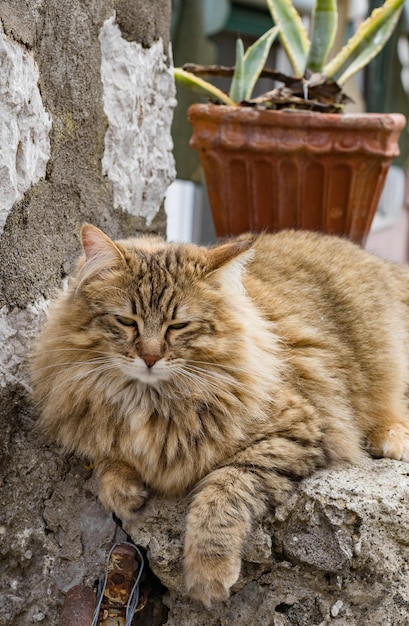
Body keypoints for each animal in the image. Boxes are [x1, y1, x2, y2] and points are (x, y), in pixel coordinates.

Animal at [30, 224, 408, 604]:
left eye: (178, 326)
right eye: (126, 321)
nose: (150, 357)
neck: (149, 400)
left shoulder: (295, 432)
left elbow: (223, 491)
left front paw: (208, 573)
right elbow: (108, 455)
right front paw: (123, 493)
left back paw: (392, 439)